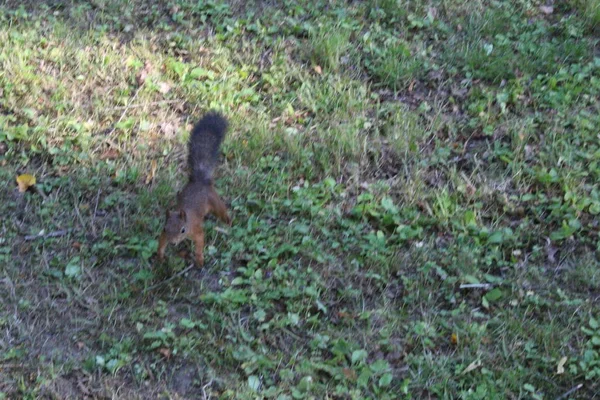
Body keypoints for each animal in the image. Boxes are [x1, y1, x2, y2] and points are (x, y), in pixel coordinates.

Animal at [157, 111, 232, 266]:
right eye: (165, 228)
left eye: (183, 230)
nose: (173, 242)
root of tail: (200, 180)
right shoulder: (163, 235)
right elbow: (161, 243)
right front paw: (160, 257)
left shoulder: (196, 230)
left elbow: (200, 241)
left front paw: (199, 260)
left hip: (214, 200)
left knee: (222, 210)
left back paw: (227, 221)